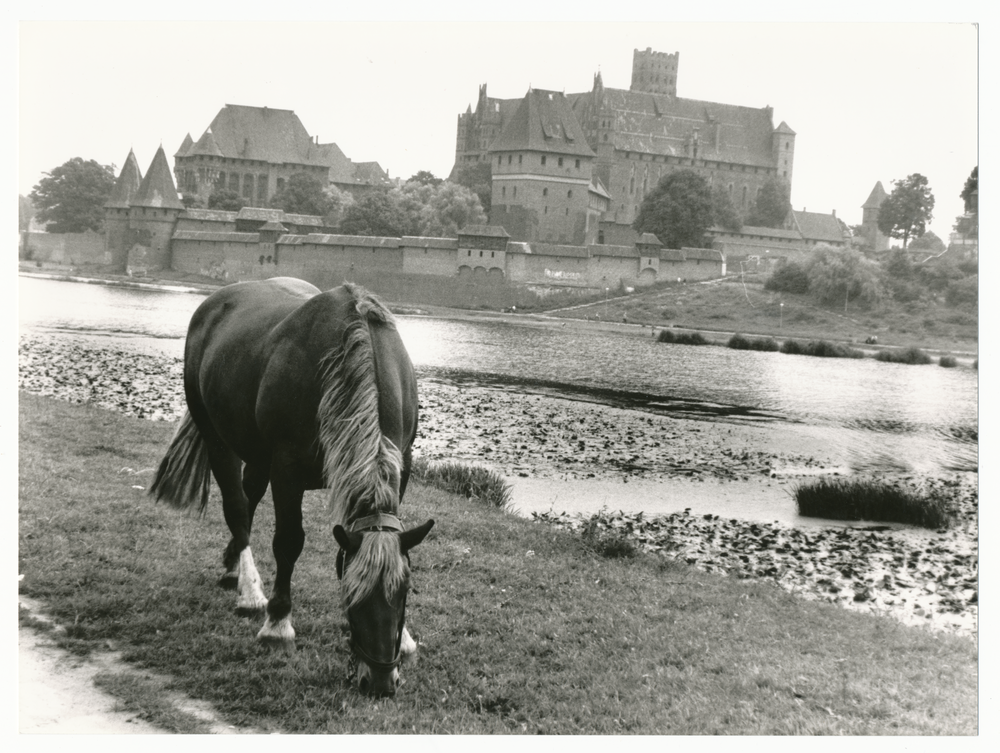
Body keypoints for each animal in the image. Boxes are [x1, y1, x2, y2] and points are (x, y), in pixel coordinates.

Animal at [150, 280, 432, 696]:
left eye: (405, 591)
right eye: (351, 591)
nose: (380, 682)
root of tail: (215, 300)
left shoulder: (405, 463)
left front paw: (408, 639)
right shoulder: (287, 470)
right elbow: (288, 542)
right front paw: (278, 623)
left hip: (256, 452)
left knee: (249, 496)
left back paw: (234, 568)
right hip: (217, 436)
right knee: (236, 506)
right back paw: (251, 591)